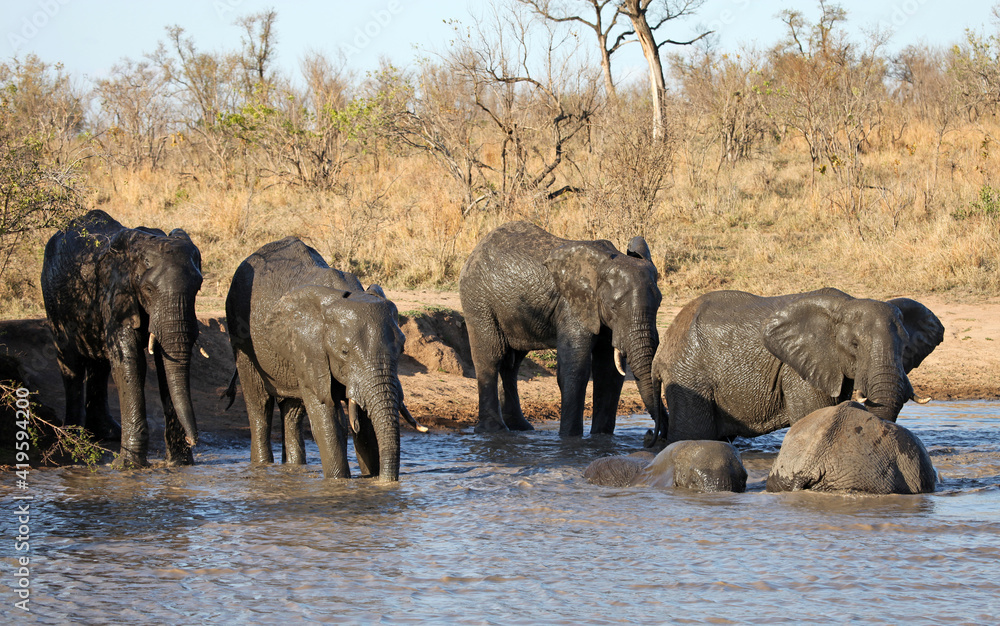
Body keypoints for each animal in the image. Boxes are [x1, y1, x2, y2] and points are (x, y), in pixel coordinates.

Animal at [40, 209, 203, 468]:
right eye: (148, 290)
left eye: (198, 288)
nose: (193, 440)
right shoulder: (116, 293)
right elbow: (130, 363)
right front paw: (128, 467)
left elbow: (164, 366)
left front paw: (179, 464)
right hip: (53, 299)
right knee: (70, 364)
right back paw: (73, 437)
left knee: (100, 366)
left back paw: (106, 433)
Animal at [224, 237, 409, 481]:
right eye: (344, 351)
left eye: (402, 348)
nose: (386, 482)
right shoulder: (310, 347)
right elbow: (329, 419)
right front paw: (339, 482)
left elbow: (365, 422)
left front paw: (371, 480)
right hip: (242, 338)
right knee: (259, 407)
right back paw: (262, 466)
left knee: (293, 411)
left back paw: (293, 468)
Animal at [459, 221, 663, 437]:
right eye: (613, 306)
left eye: (659, 303)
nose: (651, 433)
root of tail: (476, 250)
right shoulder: (572, 304)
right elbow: (575, 369)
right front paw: (569, 438)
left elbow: (609, 374)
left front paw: (601, 437)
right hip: (478, 301)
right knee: (491, 357)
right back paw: (493, 430)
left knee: (511, 365)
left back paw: (520, 428)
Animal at [651, 288, 944, 444]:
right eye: (854, 345)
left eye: (905, 347)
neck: (845, 305)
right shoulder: (799, 371)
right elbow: (814, 416)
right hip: (688, 374)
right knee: (693, 433)